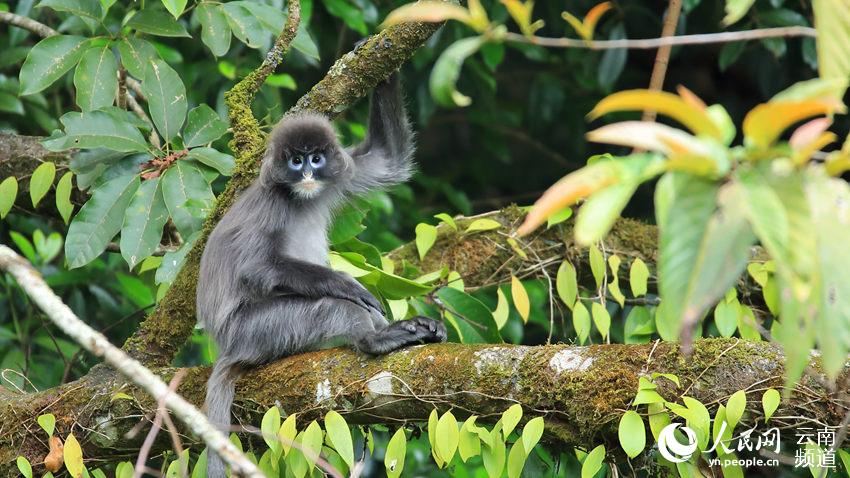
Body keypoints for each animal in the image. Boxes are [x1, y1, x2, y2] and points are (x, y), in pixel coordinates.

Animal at [197, 75, 447, 478]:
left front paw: (385, 66)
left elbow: (388, 159)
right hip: (255, 330)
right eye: (295, 160)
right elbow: (256, 269)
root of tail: (227, 344)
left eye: (316, 158)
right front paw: (345, 282)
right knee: (332, 308)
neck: (300, 198)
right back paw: (375, 338)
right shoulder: (272, 203)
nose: (308, 174)